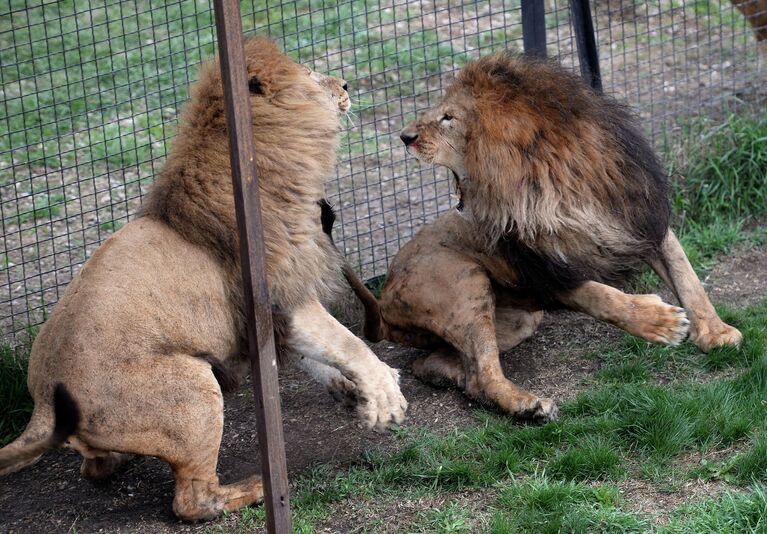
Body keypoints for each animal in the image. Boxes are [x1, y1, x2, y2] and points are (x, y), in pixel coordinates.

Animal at [0, 38, 408, 524]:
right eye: (310, 75)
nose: (345, 84)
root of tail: (43, 400)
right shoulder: (281, 293)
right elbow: (348, 342)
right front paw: (383, 395)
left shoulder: (272, 315)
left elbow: (315, 355)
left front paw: (351, 388)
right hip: (193, 389)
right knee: (192, 500)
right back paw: (257, 489)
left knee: (95, 468)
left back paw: (117, 457)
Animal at [342, 53, 736, 422]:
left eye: (448, 118)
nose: (404, 136)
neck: (560, 186)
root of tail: (383, 299)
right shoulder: (543, 269)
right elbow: (601, 297)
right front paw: (660, 322)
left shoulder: (638, 219)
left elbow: (686, 274)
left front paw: (716, 332)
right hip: (464, 283)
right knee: (485, 375)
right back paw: (529, 406)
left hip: (519, 320)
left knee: (451, 368)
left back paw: (456, 380)